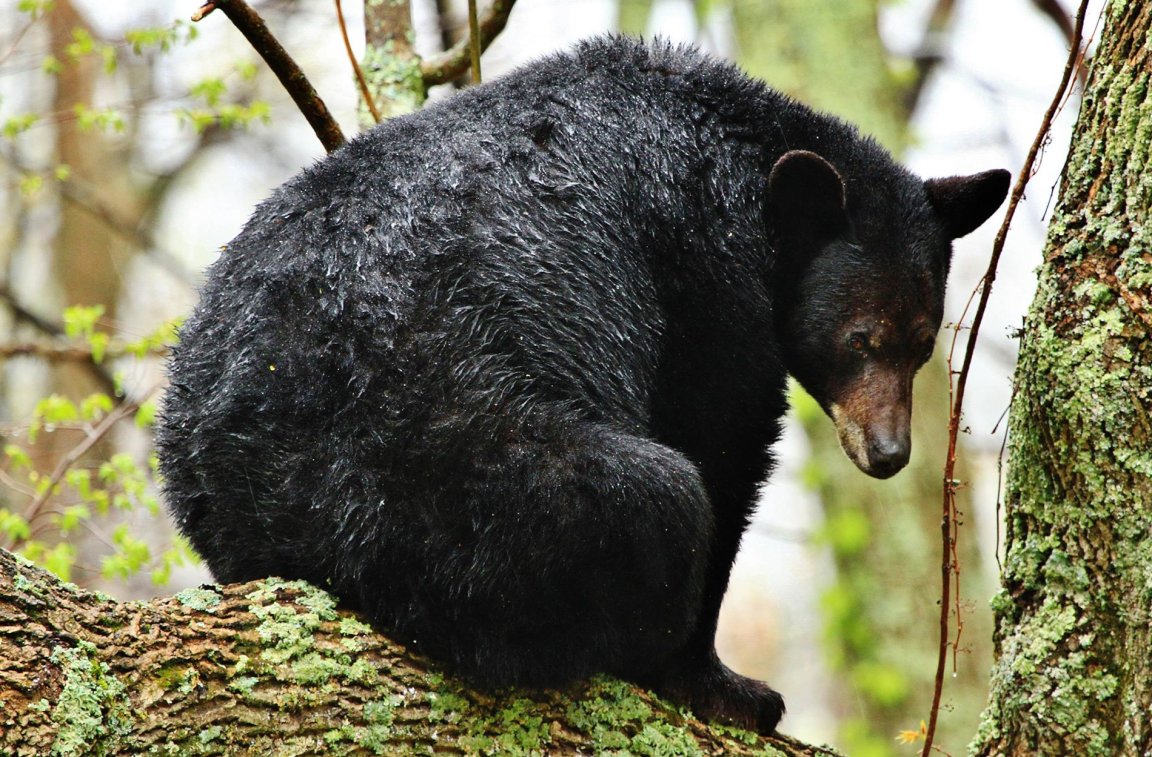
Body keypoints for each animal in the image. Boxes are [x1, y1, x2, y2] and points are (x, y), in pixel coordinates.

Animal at [156, 36, 1009, 734]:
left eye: (922, 343)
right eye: (860, 339)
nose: (889, 451)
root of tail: (253, 494)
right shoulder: (702, 267)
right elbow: (720, 436)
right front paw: (722, 682)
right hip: (453, 471)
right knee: (655, 495)